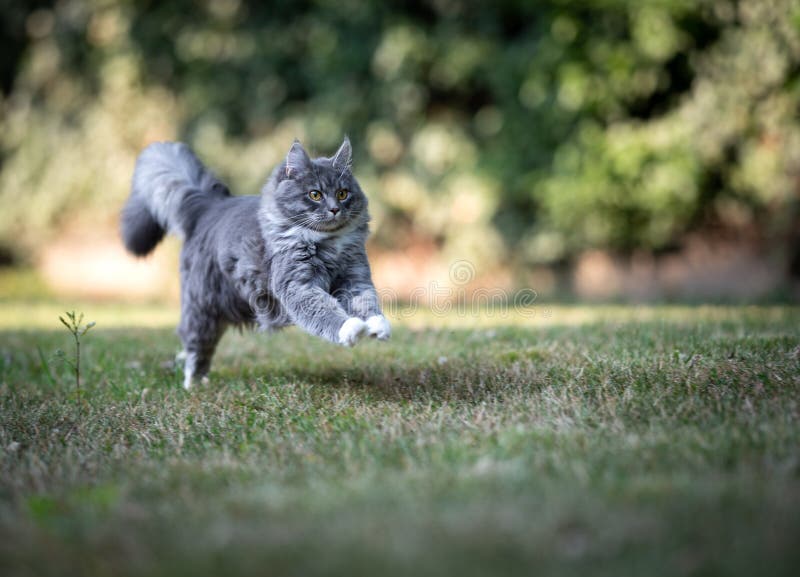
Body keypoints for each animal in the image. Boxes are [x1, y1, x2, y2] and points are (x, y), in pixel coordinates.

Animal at [119, 136, 390, 388]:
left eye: (343, 194)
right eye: (315, 194)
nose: (334, 209)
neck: (329, 242)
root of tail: (210, 206)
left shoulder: (354, 277)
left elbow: (367, 303)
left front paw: (378, 327)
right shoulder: (298, 286)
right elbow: (327, 311)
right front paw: (352, 329)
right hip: (202, 307)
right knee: (195, 348)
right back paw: (193, 385)